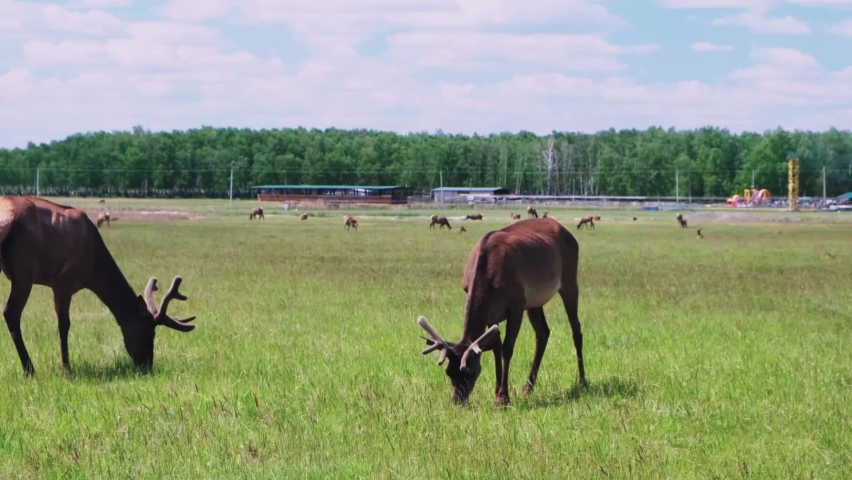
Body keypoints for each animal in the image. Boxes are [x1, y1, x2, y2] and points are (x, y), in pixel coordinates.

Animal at [0, 196, 197, 376]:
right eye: (150, 333)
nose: (147, 366)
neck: (93, 269)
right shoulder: (65, 280)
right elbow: (64, 324)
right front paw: (66, 367)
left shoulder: (56, 284)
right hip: (25, 268)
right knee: (11, 312)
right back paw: (29, 370)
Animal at [416, 217, 586, 406]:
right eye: (448, 371)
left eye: (470, 372)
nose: (457, 400)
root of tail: (568, 232)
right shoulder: (492, 312)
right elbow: (496, 346)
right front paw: (497, 391)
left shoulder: (517, 304)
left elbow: (507, 348)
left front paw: (503, 397)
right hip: (535, 301)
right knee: (543, 333)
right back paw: (527, 388)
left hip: (569, 282)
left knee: (576, 331)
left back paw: (582, 382)